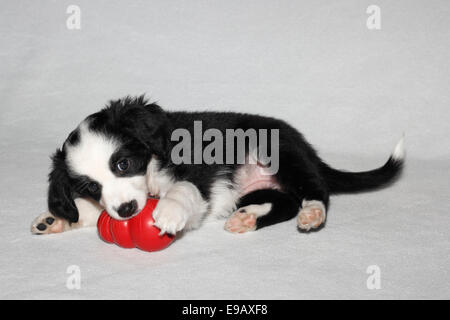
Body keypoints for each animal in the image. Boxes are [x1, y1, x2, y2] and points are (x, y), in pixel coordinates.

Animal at [31, 95, 404, 235]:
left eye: (123, 164)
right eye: (90, 186)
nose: (126, 210)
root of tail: (309, 151)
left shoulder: (196, 170)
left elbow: (185, 188)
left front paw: (168, 211)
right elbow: (91, 210)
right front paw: (57, 219)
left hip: (280, 152)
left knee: (315, 189)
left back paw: (313, 212)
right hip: (261, 186)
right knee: (285, 201)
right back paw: (248, 218)